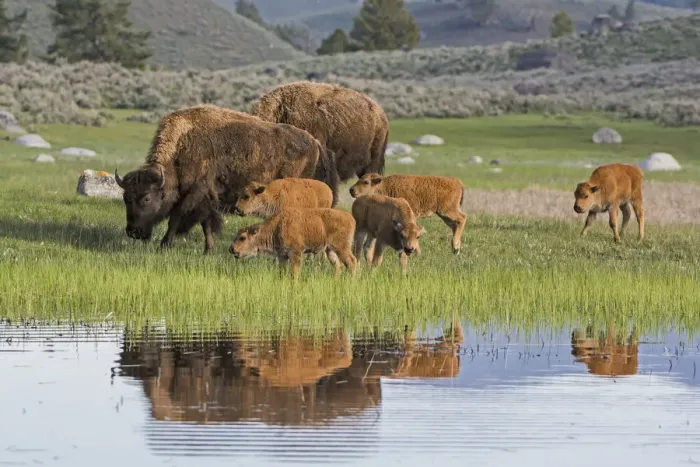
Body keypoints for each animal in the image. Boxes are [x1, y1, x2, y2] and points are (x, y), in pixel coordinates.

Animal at [114, 104, 338, 254]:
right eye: (126, 198)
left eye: (146, 198)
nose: (133, 232)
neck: (183, 145)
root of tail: (315, 142)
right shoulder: (206, 198)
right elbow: (206, 223)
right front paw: (208, 250)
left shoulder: (196, 192)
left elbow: (177, 216)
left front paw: (165, 245)